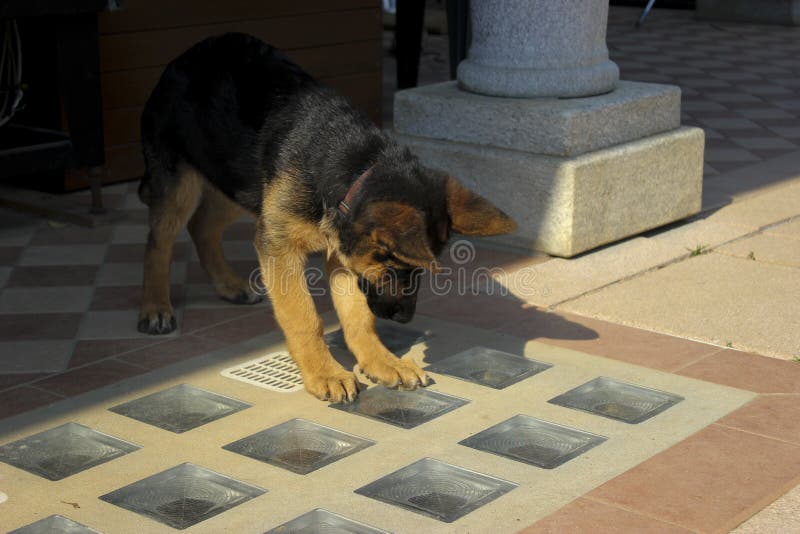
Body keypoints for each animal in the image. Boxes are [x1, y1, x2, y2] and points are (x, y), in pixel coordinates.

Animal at [138, 33, 516, 402]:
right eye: (394, 265)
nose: (406, 319)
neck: (357, 168)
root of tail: (186, 55)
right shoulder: (280, 247)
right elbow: (304, 316)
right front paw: (325, 373)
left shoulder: (343, 254)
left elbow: (358, 315)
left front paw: (381, 361)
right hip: (182, 183)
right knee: (160, 240)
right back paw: (155, 307)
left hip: (238, 180)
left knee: (202, 225)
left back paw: (229, 285)